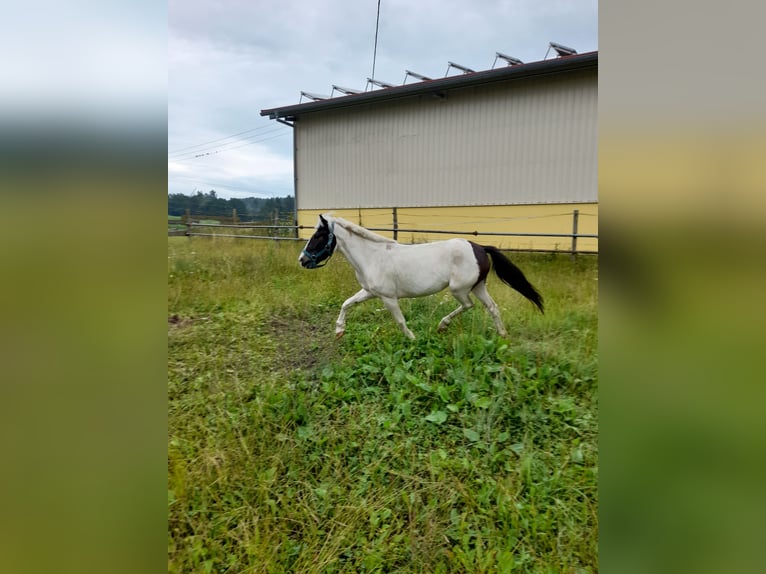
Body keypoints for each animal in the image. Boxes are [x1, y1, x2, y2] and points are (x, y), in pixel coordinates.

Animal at [299, 214, 544, 340]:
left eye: (319, 236)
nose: (302, 260)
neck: (372, 256)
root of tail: (480, 248)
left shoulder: (388, 297)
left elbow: (399, 320)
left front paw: (412, 339)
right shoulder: (369, 292)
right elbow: (346, 303)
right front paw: (339, 330)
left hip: (460, 289)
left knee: (469, 305)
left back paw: (442, 326)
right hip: (478, 286)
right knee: (492, 307)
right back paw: (502, 335)